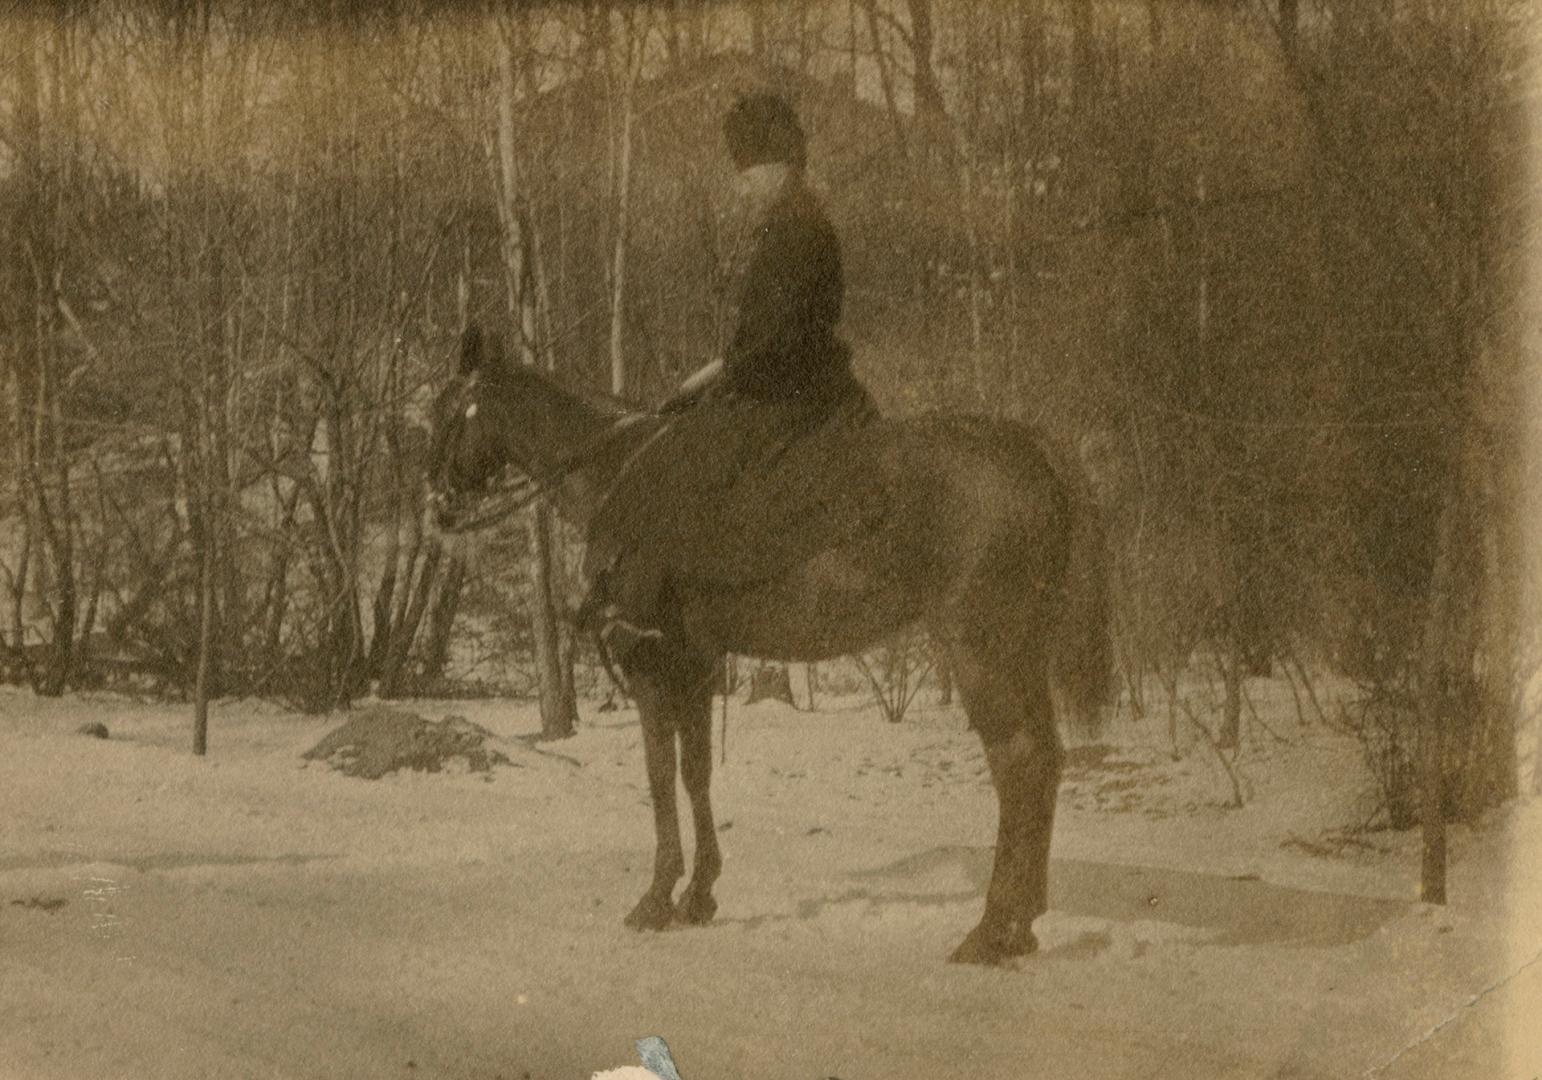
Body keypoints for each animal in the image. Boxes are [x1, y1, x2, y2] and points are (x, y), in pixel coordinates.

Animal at [428, 325, 1116, 968]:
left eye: (445, 410)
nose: (436, 506)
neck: (615, 472)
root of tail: (1030, 448)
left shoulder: (650, 663)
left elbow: (658, 774)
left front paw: (656, 897)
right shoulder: (696, 664)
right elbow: (695, 771)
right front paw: (698, 894)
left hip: (982, 652)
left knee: (1017, 764)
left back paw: (991, 929)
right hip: (1020, 654)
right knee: (1045, 762)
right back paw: (1021, 926)